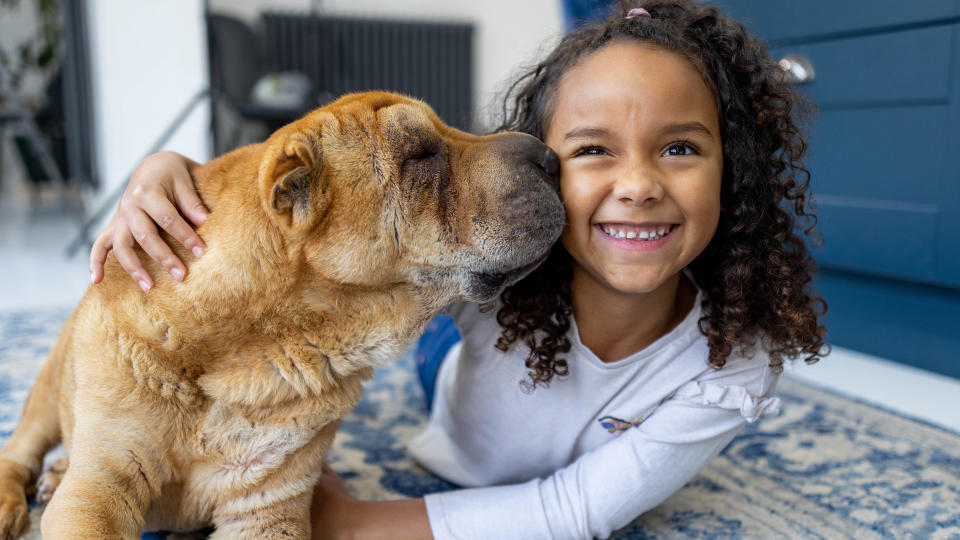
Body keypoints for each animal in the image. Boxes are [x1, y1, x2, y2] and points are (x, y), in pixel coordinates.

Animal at [0, 90, 568, 536]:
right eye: (420, 155)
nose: (549, 155)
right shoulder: (97, 495)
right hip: (49, 386)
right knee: (21, 448)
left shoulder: (269, 508)